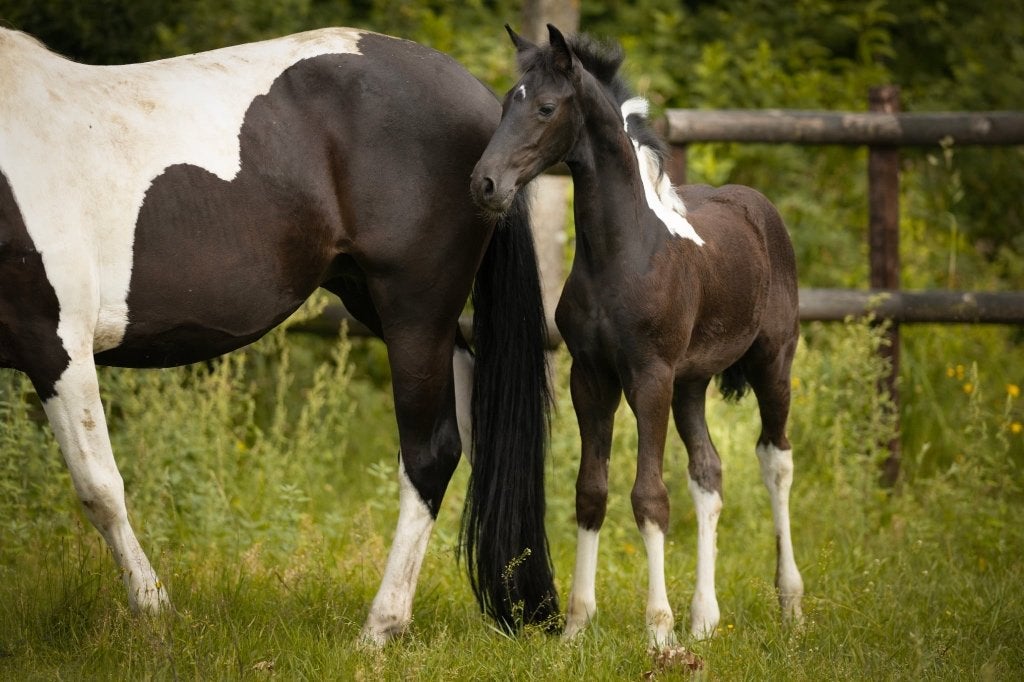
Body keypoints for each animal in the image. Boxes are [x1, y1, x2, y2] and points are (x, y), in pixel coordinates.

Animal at [0, 26, 559, 644]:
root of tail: (484, 107)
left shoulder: (56, 344)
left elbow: (99, 488)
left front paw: (154, 617)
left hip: (415, 311)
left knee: (431, 454)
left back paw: (380, 628)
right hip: (387, 307)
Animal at [471, 25, 804, 649]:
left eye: (546, 107)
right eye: (507, 103)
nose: (485, 184)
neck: (621, 253)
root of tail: (758, 206)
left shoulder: (648, 377)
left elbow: (649, 497)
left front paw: (659, 632)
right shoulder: (591, 377)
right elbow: (591, 491)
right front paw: (576, 627)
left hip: (773, 363)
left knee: (776, 460)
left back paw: (790, 605)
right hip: (692, 383)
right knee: (708, 473)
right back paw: (705, 618)